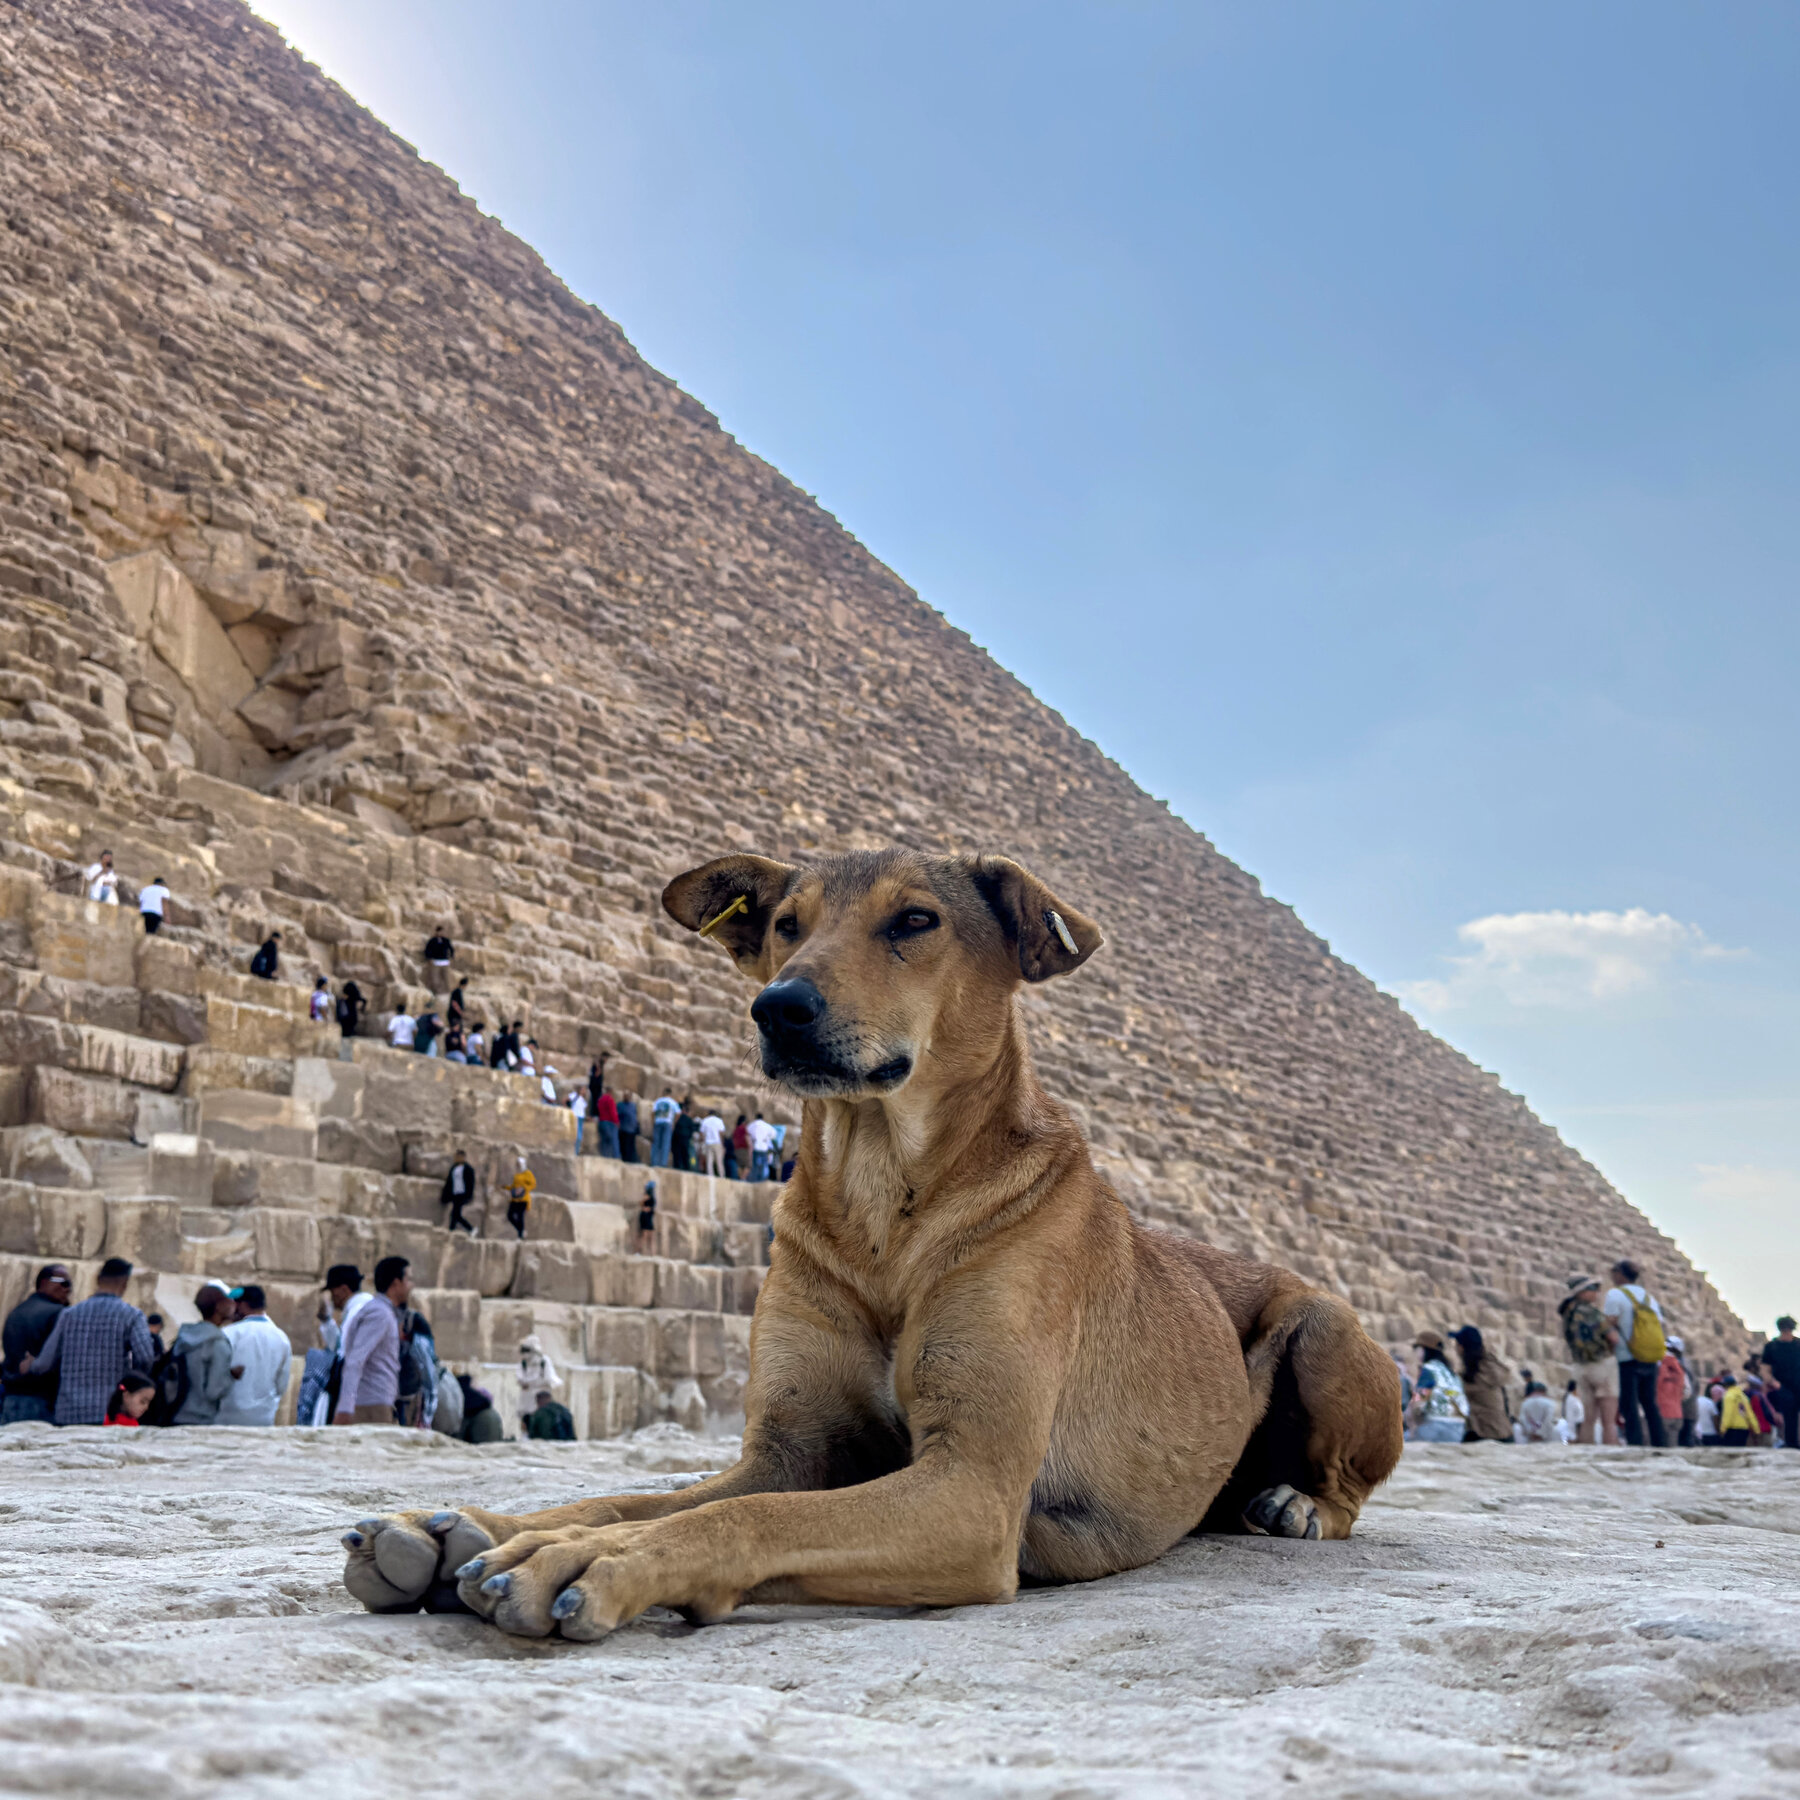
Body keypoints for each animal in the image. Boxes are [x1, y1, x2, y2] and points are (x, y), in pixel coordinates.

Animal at [340, 849, 1404, 1641]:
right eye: (785, 922)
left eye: (916, 921)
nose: (779, 1006)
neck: (884, 1199)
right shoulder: (789, 1451)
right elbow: (645, 1497)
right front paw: (477, 1531)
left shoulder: (969, 1492)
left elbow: (736, 1516)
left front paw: (592, 1563)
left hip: (1327, 1325)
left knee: (1346, 1479)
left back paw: (1296, 1506)